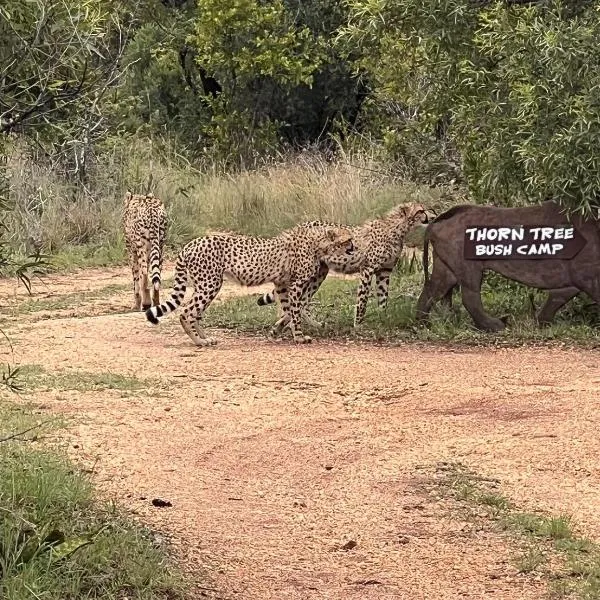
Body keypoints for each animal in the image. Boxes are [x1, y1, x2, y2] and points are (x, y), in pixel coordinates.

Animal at [145, 224, 356, 346]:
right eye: (348, 239)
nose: (354, 247)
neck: (318, 243)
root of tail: (191, 243)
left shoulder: (281, 284)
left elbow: (288, 309)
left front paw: (276, 331)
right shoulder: (295, 284)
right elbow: (295, 312)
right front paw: (299, 336)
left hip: (206, 284)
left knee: (195, 313)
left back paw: (206, 338)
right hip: (210, 283)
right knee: (187, 312)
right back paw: (199, 341)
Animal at [255, 205, 428, 328]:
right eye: (420, 210)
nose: (430, 215)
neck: (397, 228)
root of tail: (299, 226)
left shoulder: (384, 271)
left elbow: (383, 298)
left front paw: (383, 319)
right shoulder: (367, 269)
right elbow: (362, 300)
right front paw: (358, 325)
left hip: (319, 273)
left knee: (301, 301)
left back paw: (304, 324)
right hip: (309, 273)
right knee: (296, 300)